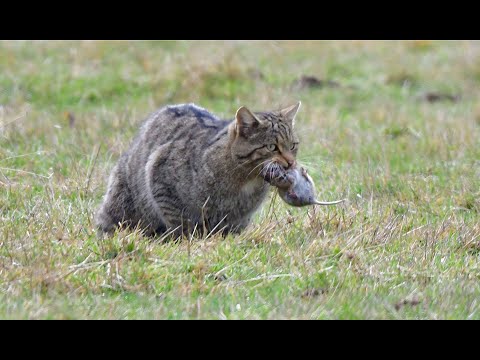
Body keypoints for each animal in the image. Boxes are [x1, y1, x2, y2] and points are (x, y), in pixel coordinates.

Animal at [94, 100, 300, 236]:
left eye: (293, 146)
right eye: (272, 147)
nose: (291, 162)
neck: (247, 181)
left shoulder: (239, 218)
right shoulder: (160, 176)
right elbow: (180, 222)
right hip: (121, 204)